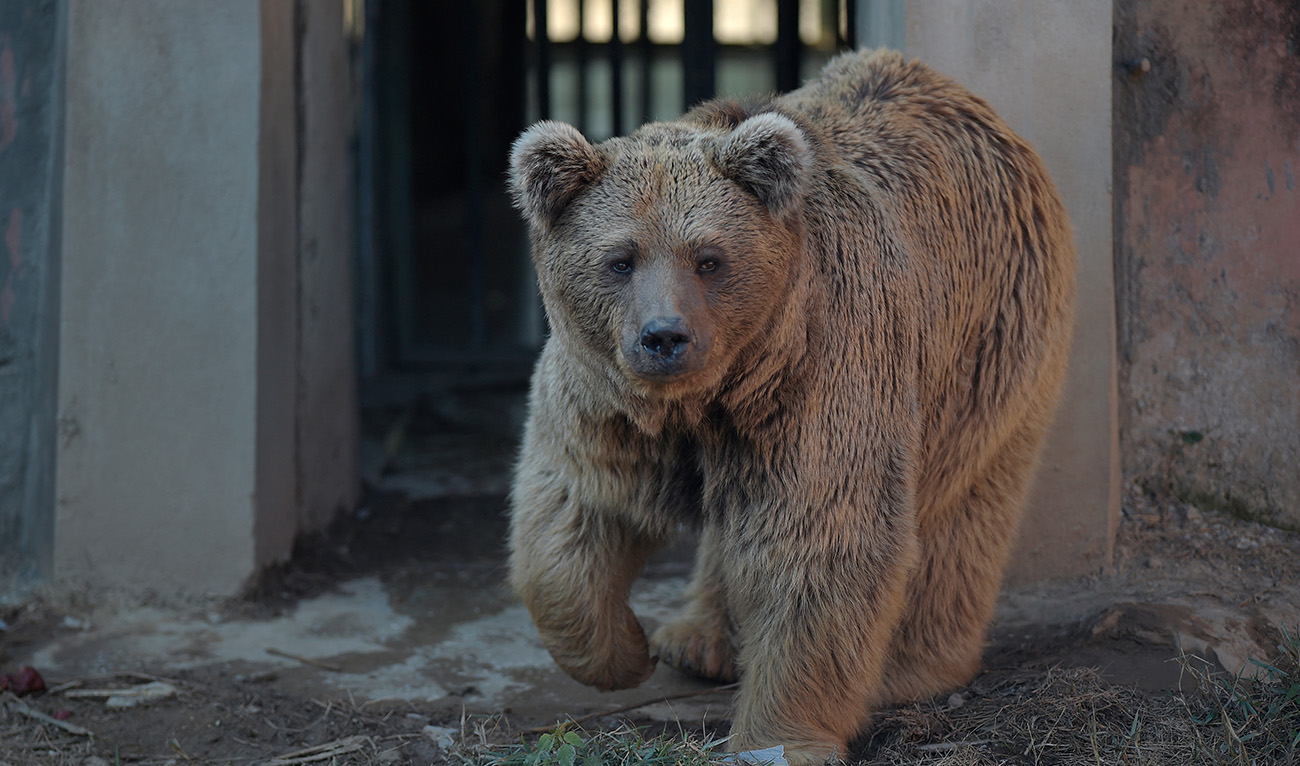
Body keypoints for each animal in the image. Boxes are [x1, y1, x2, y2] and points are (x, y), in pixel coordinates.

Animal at [506, 48, 1075, 765]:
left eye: (709, 258)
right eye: (620, 259)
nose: (664, 336)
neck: (710, 396)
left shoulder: (821, 373)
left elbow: (818, 537)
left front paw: (777, 738)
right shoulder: (608, 397)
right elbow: (574, 511)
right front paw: (627, 651)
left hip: (989, 347)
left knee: (963, 506)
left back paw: (912, 667)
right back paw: (696, 639)